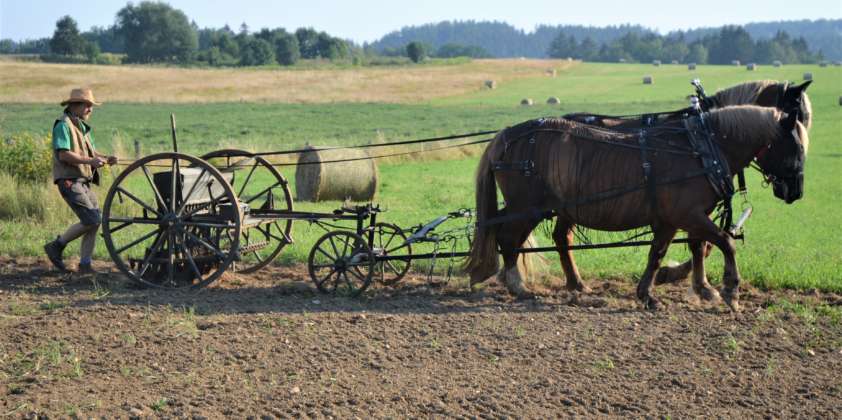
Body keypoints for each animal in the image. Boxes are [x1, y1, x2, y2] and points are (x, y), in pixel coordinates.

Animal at [466, 105, 808, 310]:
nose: (795, 191)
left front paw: (658, 292)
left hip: (542, 207)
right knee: (508, 239)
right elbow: (724, 242)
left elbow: (666, 252)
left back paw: (573, 284)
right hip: (528, 207)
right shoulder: (687, 215)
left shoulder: (678, 219)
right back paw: (518, 286)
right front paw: (730, 291)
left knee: (528, 234)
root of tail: (506, 135)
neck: (703, 148)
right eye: (795, 146)